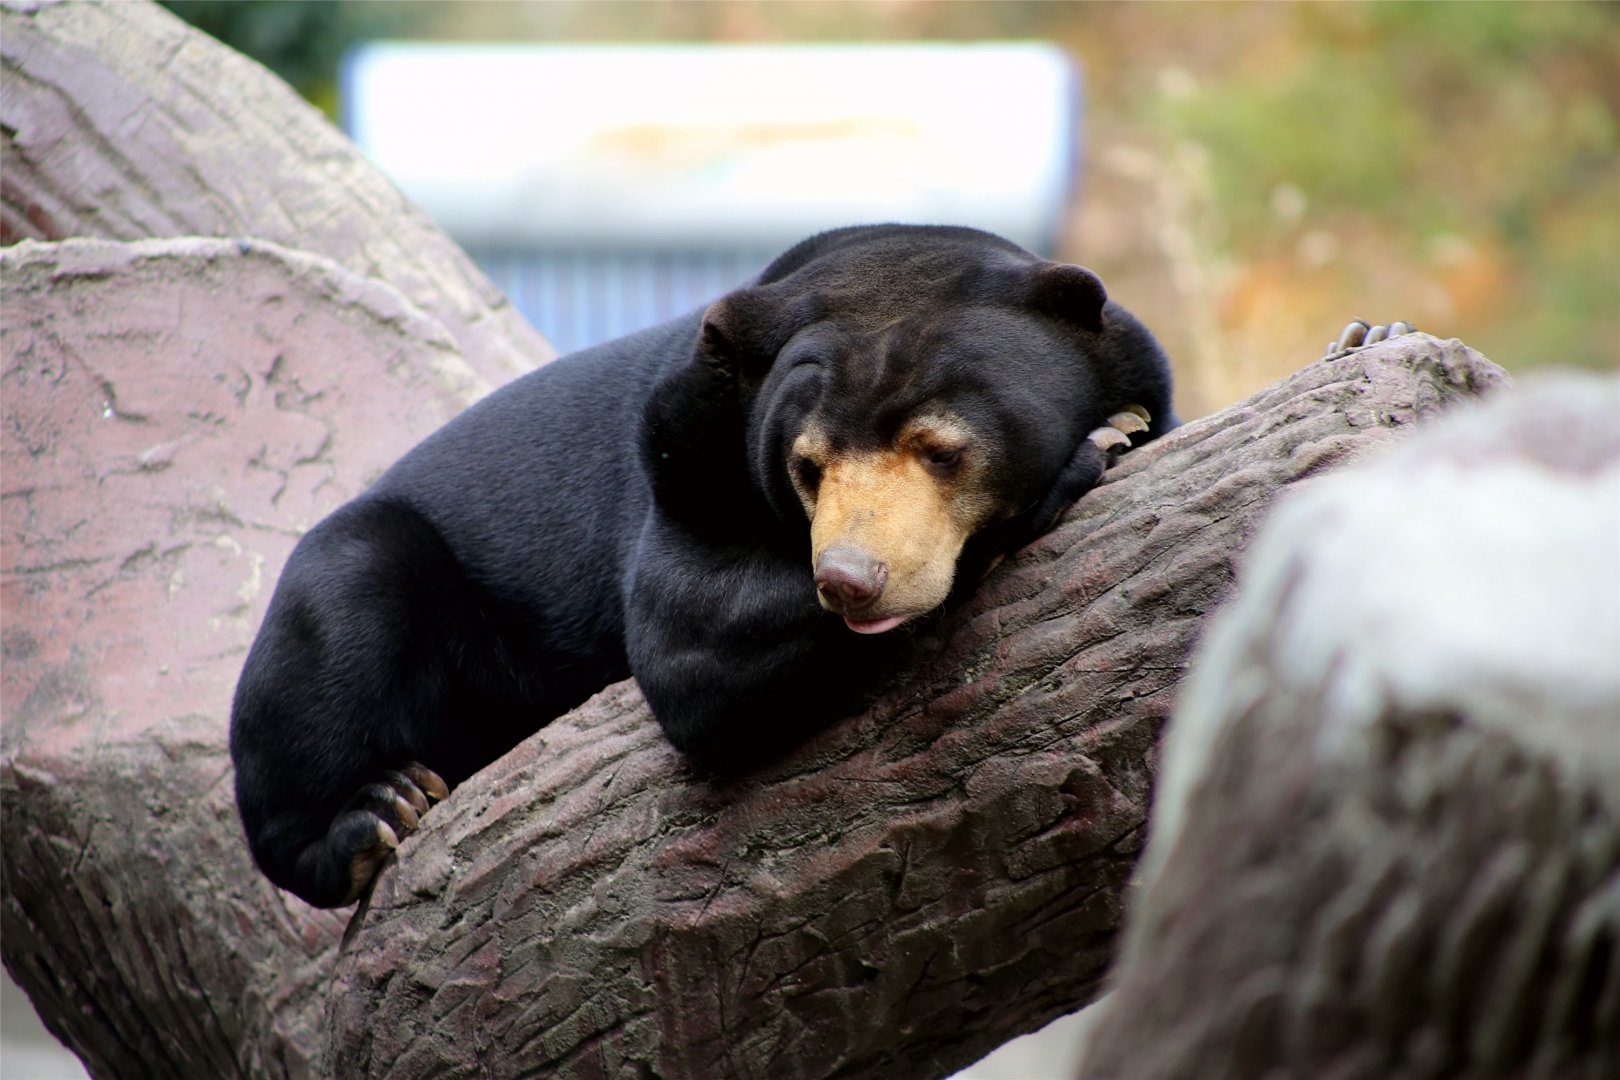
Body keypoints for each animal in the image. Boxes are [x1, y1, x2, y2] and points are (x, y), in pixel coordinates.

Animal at [229, 224, 1178, 908]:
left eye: (940, 450)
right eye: (806, 466)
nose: (848, 581)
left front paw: (1118, 428)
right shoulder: (681, 461)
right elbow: (689, 642)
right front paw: (1097, 444)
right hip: (363, 582)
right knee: (333, 634)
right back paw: (375, 816)